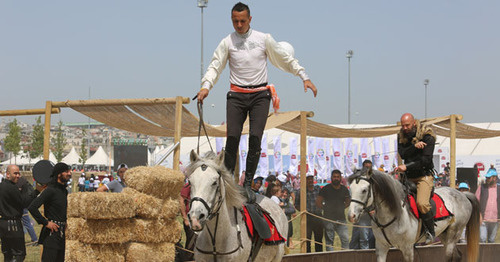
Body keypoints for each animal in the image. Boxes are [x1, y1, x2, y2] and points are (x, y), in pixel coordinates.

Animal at [348, 169, 480, 260]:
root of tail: (463, 195)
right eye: (350, 189)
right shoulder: (381, 247)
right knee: (457, 256)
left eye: (364, 190)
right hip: (444, 235)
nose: (351, 216)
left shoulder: (407, 249)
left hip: (454, 234)